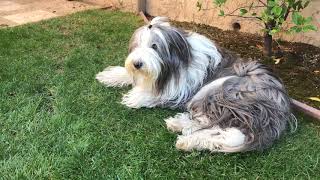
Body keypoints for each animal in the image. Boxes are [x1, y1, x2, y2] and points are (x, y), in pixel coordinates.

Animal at [96, 16, 296, 152]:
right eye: (137, 45)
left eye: (154, 46)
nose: (137, 63)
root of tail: (280, 111)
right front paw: (110, 75)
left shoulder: (181, 90)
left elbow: (156, 93)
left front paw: (135, 96)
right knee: (220, 126)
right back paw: (183, 129)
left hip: (223, 89)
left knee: (215, 122)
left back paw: (185, 134)